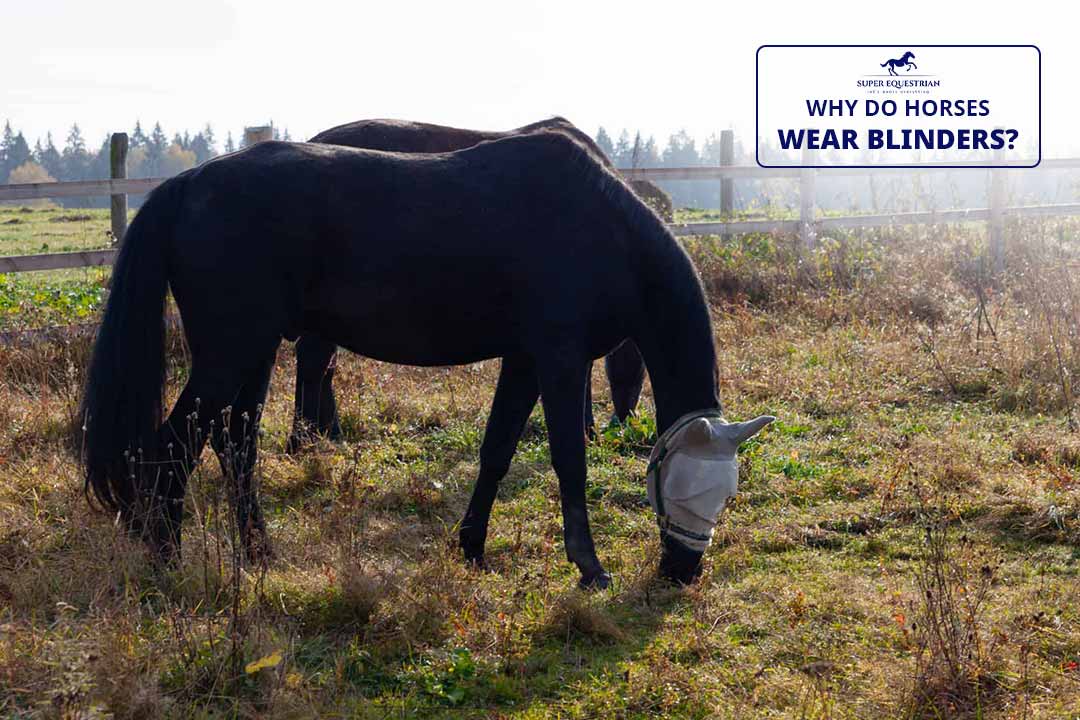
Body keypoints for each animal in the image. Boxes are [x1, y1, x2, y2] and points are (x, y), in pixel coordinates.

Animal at [289, 117, 655, 451]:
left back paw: (327, 432)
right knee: (314, 360)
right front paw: (587, 429)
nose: (626, 423)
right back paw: (302, 438)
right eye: (640, 371)